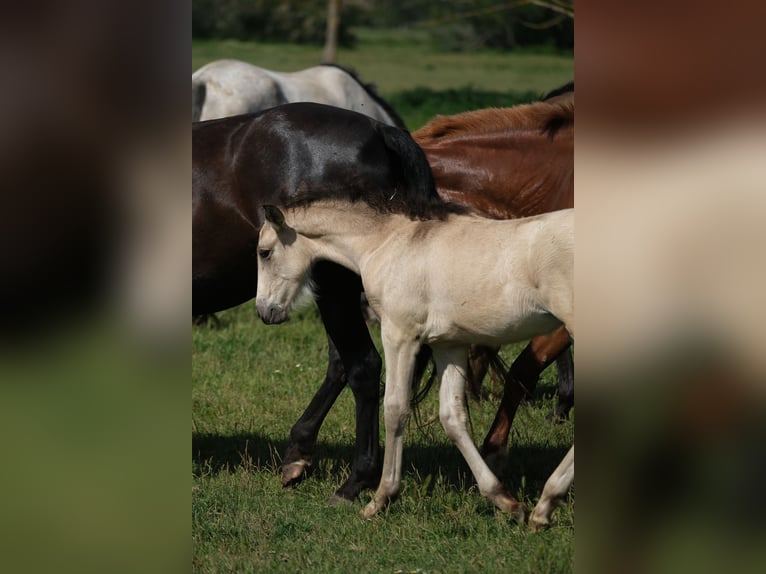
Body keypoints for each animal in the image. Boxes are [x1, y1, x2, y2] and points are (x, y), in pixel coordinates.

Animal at [258, 200, 576, 528]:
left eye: (264, 252)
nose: (265, 311)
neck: (386, 245)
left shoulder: (399, 335)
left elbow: (395, 409)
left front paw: (381, 498)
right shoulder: (448, 345)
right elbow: (452, 418)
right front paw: (505, 501)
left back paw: (548, 500)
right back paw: (542, 508)